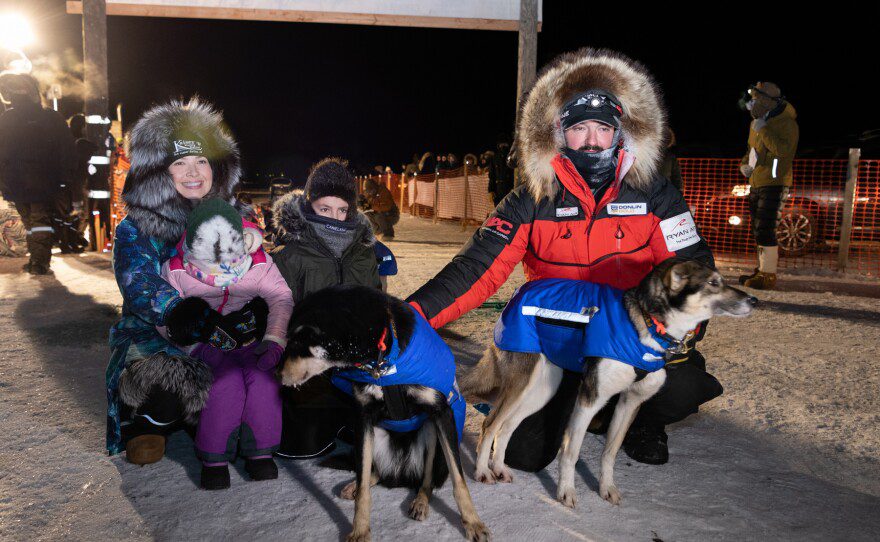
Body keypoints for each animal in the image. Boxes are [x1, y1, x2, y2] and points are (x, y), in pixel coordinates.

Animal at [280, 286, 488, 540]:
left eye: (297, 342)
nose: (277, 375)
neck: (382, 362)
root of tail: (400, 475)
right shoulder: (363, 417)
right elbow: (363, 487)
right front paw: (359, 530)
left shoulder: (441, 412)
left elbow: (459, 482)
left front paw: (473, 523)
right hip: (373, 434)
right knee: (373, 473)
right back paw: (356, 486)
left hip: (430, 431)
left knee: (426, 481)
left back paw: (420, 502)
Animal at [460, 260, 756, 510]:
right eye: (714, 283)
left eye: (721, 280)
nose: (753, 300)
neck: (645, 325)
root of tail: (519, 292)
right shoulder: (590, 399)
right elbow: (570, 452)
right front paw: (566, 492)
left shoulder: (630, 402)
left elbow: (610, 452)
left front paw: (606, 488)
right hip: (521, 383)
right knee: (490, 425)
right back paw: (483, 471)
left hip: (543, 388)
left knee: (507, 427)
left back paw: (499, 468)